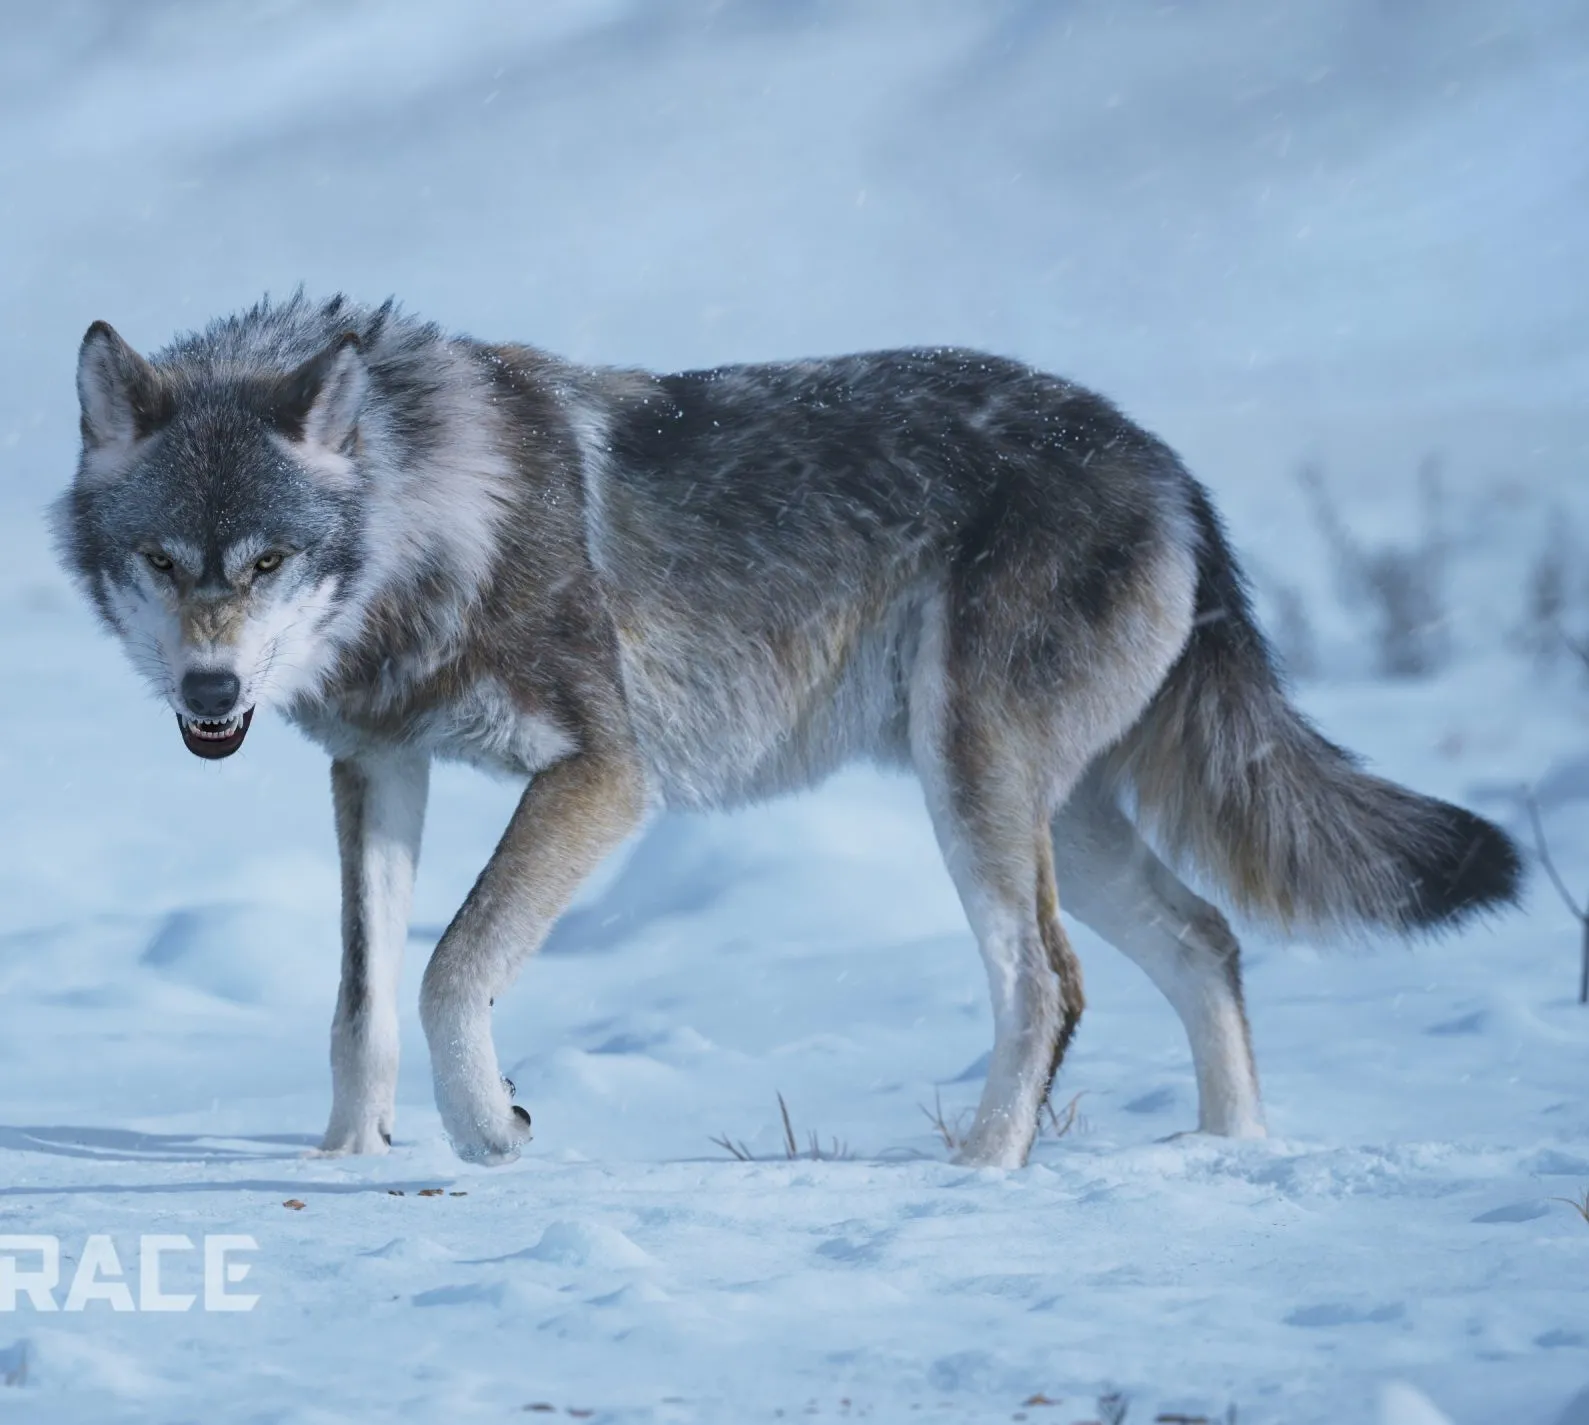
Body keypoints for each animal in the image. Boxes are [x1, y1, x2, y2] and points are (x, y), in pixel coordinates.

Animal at [53, 294, 1521, 1167]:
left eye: (266, 564)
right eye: (166, 564)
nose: (210, 698)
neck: (433, 528)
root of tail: (1167, 467)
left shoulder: (604, 777)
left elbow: (447, 969)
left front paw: (490, 1134)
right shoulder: (378, 765)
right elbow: (360, 996)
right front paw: (344, 1166)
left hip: (970, 790)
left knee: (1046, 983)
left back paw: (977, 1175)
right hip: (1060, 820)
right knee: (1206, 941)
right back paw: (1227, 1157)